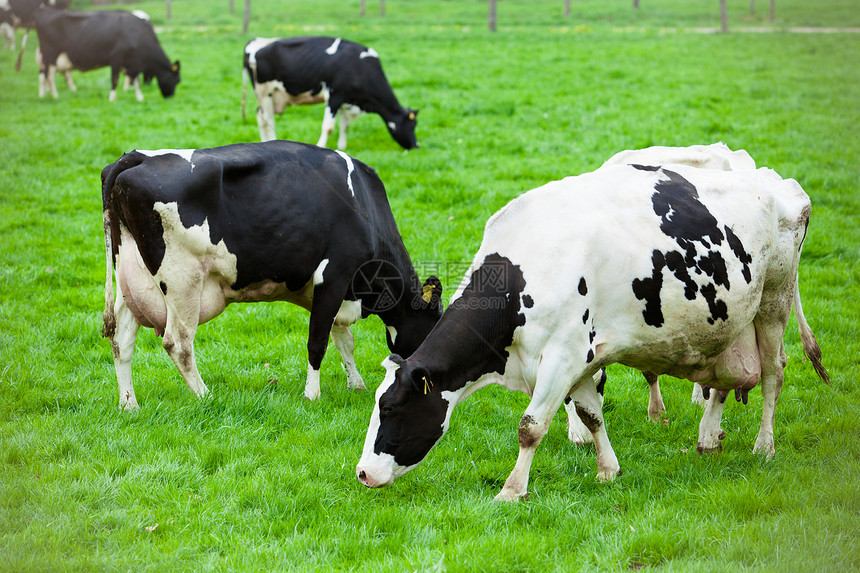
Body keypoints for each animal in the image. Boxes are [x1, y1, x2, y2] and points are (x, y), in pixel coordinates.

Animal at [31, 8, 179, 100]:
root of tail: (43, 11)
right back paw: (55, 96)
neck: (135, 32)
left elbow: (135, 79)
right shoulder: (116, 57)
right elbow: (115, 79)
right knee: (49, 76)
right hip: (50, 54)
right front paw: (112, 98)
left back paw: (43, 95)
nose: (170, 96)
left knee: (43, 76)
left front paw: (140, 98)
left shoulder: (133, 62)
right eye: (177, 80)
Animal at [102, 140, 444, 408]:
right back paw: (205, 396)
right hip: (182, 279)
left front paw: (356, 384)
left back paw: (129, 403)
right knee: (178, 342)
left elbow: (343, 339)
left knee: (121, 338)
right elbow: (318, 340)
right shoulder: (334, 275)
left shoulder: (335, 290)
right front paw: (312, 395)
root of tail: (137, 157)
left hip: (131, 280)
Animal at [354, 162, 828, 500]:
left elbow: (530, 427)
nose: (362, 473)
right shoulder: (582, 358)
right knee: (724, 380)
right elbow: (591, 416)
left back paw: (764, 447)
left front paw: (511, 490)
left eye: (391, 408)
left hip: (773, 301)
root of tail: (776, 180)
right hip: (728, 325)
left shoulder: (561, 355)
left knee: (773, 375)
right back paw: (709, 438)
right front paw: (608, 470)